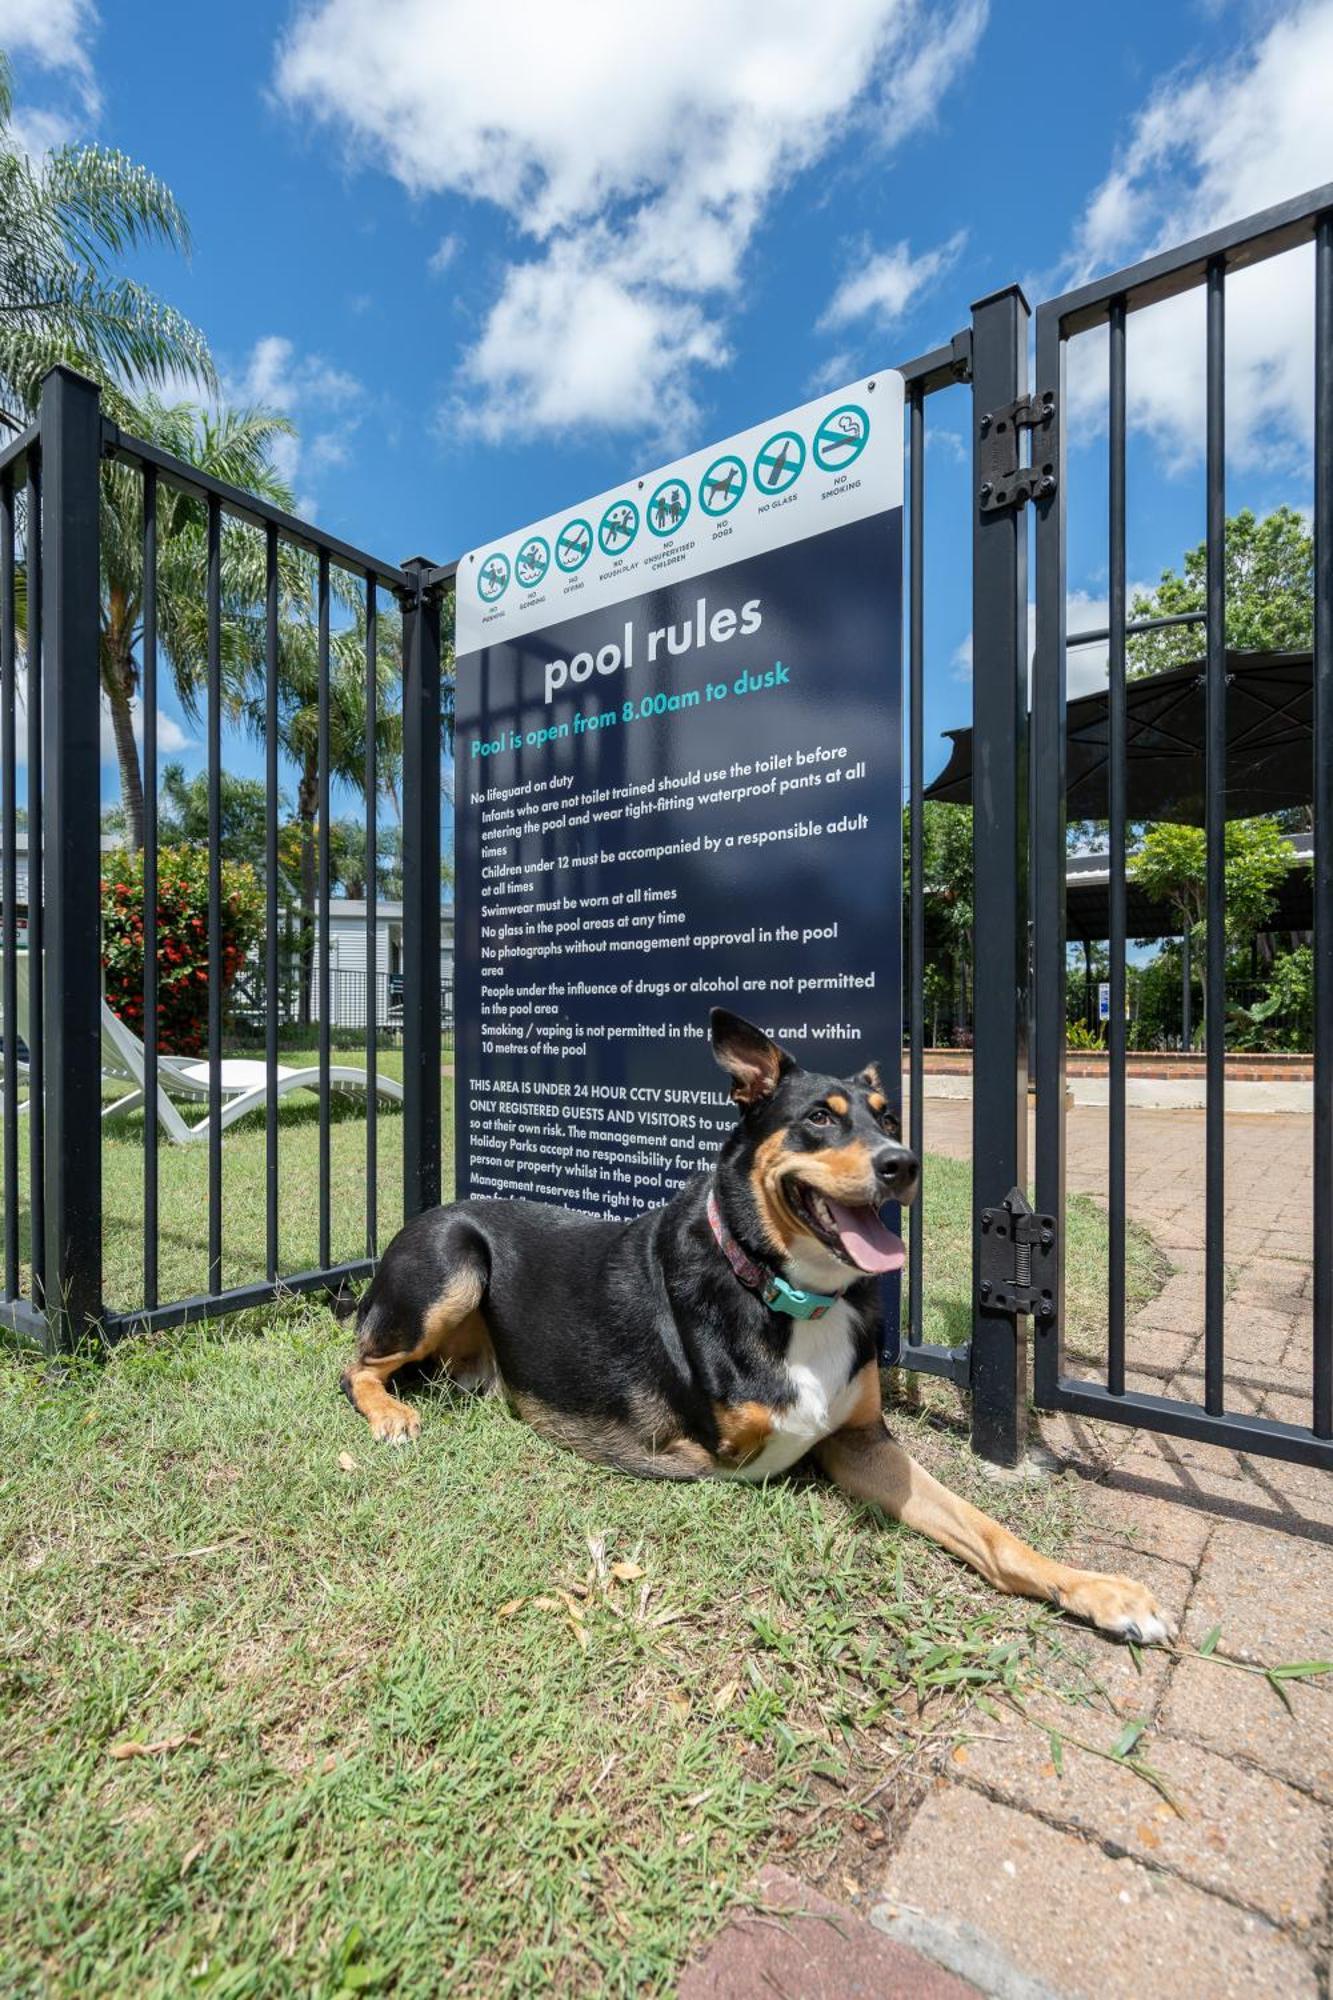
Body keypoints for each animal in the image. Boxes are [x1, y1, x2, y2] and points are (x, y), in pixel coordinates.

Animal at [344, 1008, 1176, 1648]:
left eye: (890, 1118)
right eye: (817, 1118)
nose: (903, 1163)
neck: (792, 1295)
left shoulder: (860, 1441)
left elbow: (988, 1529)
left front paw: (1099, 1591)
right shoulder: (737, 1448)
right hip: (452, 1264)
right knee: (356, 1364)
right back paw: (389, 1415)